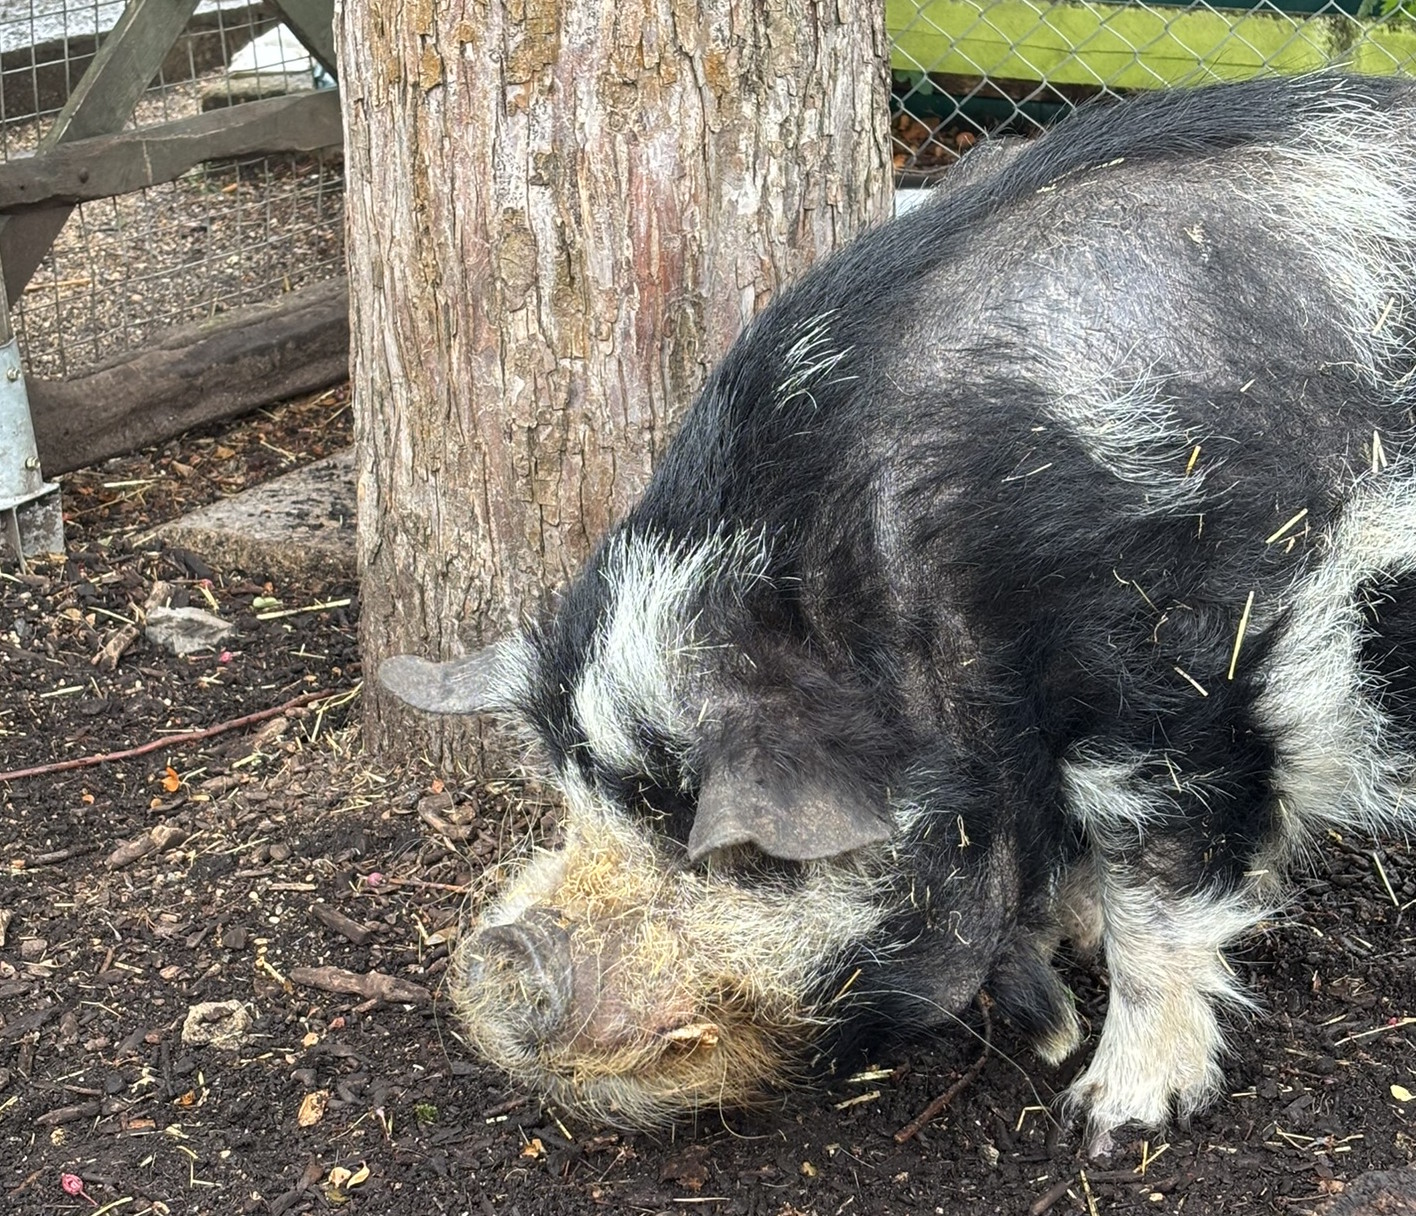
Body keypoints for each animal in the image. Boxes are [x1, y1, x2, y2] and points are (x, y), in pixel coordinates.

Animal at [380, 72, 1416, 1146]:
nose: (498, 964)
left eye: (745, 858)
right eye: (577, 801)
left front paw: (1109, 1117)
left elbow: (1161, 901)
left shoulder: (1175, 686)